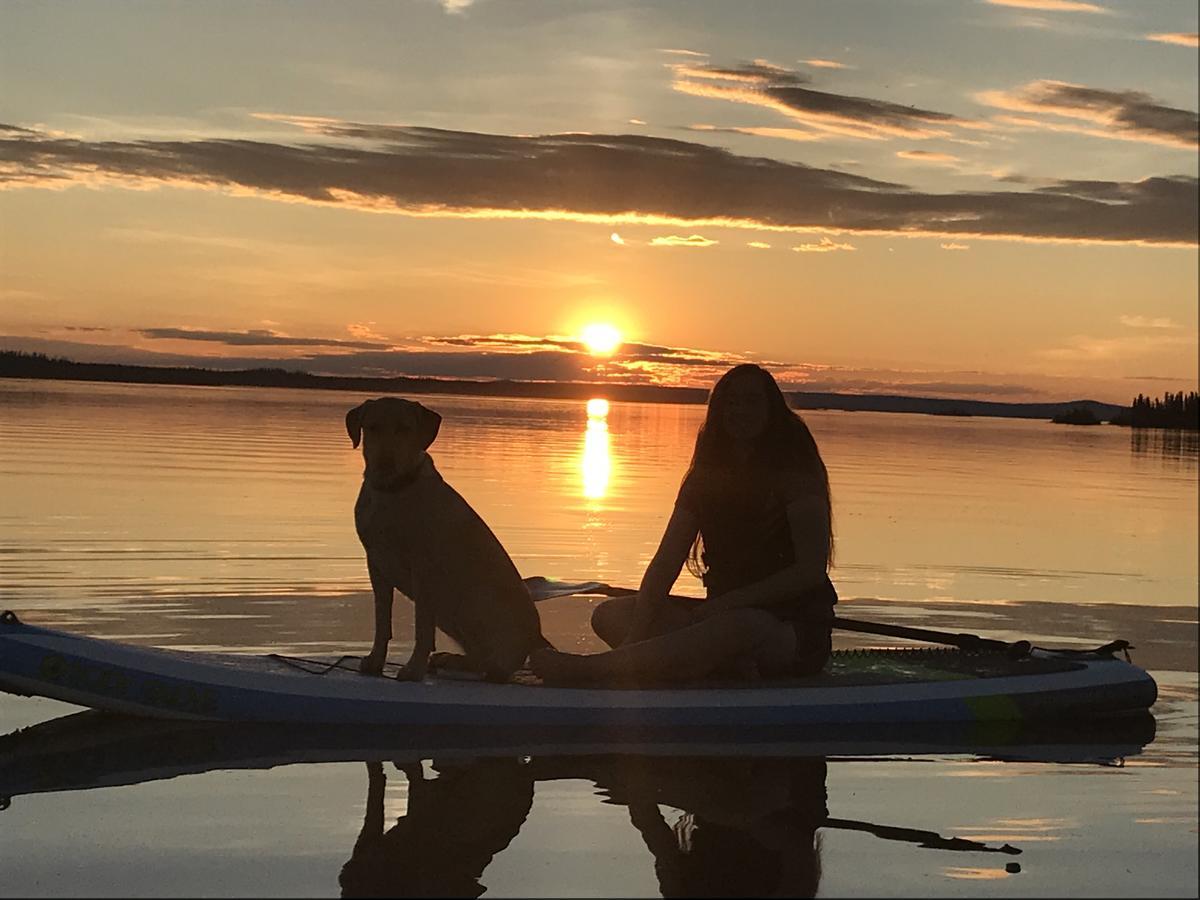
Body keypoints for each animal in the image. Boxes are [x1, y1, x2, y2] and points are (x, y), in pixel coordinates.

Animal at [348, 398, 549, 681]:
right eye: (372, 427)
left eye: (405, 428)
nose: (385, 463)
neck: (392, 492)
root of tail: (535, 638)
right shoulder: (376, 565)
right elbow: (382, 622)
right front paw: (375, 661)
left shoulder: (424, 570)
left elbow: (422, 627)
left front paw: (413, 669)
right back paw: (450, 659)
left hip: (474, 601)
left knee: (496, 664)